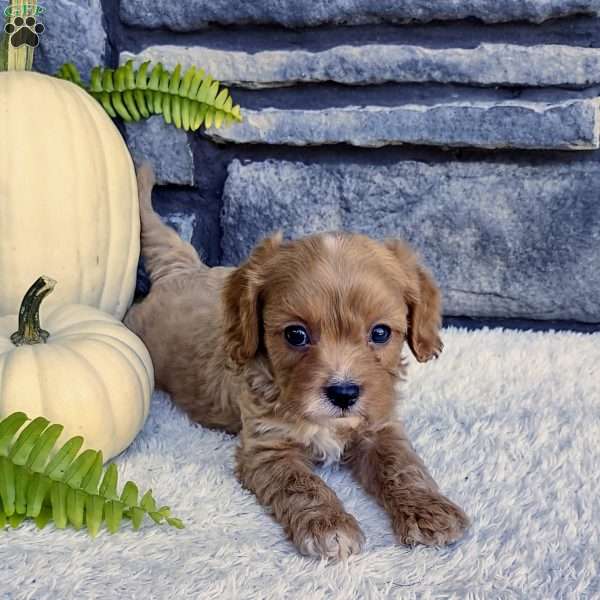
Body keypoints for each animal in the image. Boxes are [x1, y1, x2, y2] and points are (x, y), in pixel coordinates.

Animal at [125, 163, 468, 556]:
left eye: (380, 333)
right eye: (295, 335)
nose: (344, 394)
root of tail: (178, 270)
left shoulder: (380, 426)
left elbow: (402, 465)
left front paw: (429, 511)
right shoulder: (267, 446)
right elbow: (300, 483)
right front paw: (328, 525)